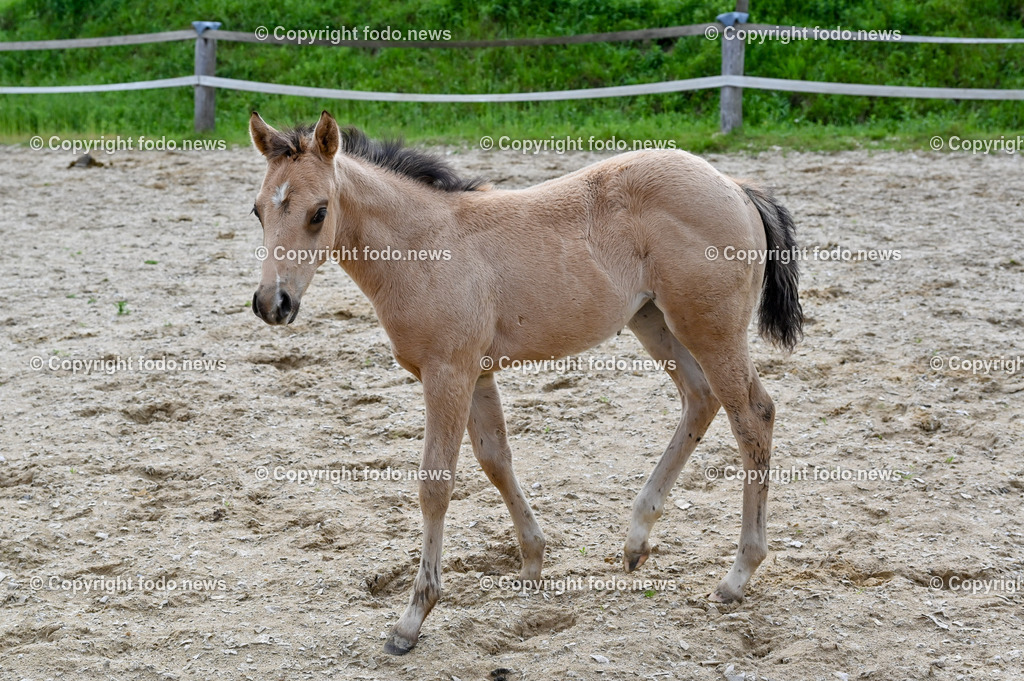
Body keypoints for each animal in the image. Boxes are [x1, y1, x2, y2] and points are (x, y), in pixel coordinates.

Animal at [248, 110, 803, 655]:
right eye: (257, 211)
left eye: (319, 212)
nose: (272, 304)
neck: (423, 246)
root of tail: (734, 187)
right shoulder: (476, 374)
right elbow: (495, 459)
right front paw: (533, 562)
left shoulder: (447, 374)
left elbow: (435, 485)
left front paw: (412, 619)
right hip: (654, 320)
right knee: (700, 399)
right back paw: (636, 540)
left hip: (710, 330)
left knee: (752, 415)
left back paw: (737, 576)